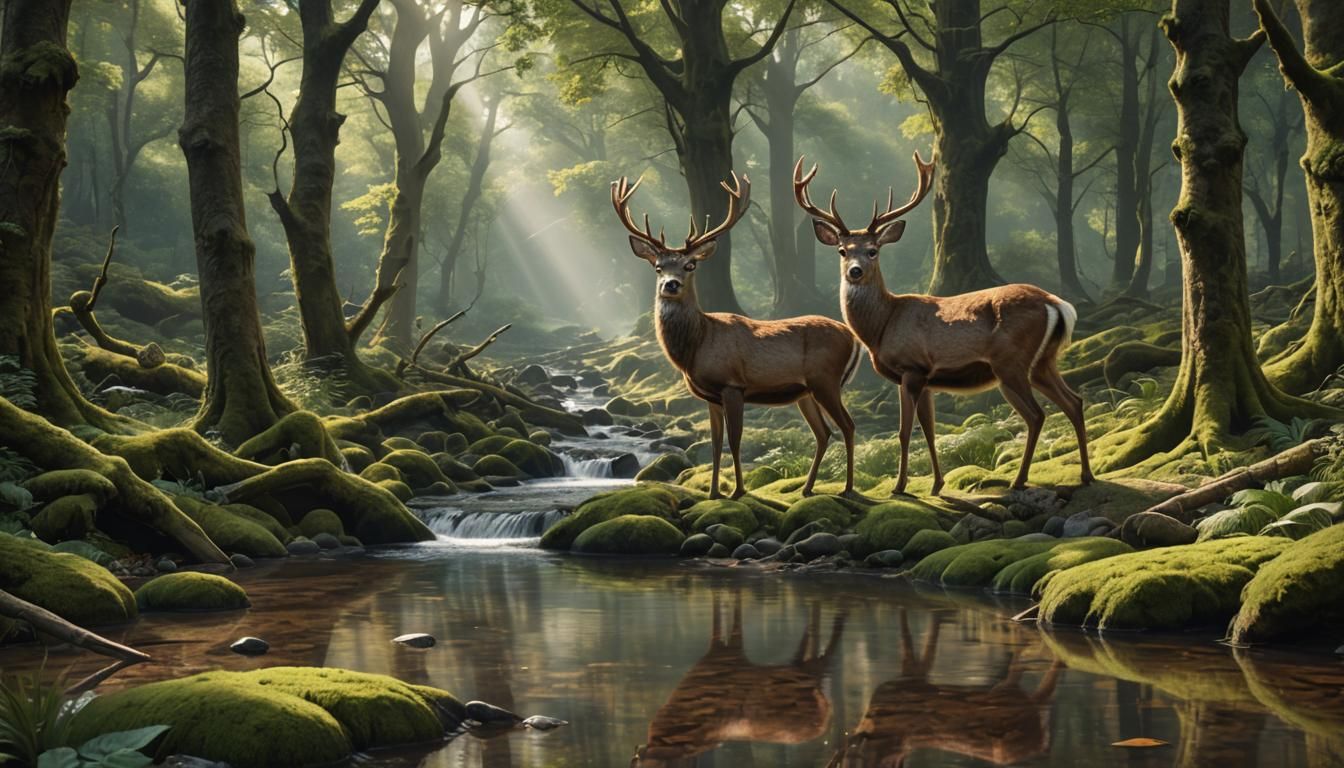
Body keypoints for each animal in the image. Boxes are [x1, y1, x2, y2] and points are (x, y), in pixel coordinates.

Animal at [612, 172, 863, 500]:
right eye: (658, 267)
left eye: (690, 265)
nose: (671, 284)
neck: (697, 345)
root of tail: (854, 337)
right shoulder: (711, 397)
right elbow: (715, 445)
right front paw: (713, 493)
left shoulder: (732, 385)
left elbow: (734, 440)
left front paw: (738, 491)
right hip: (806, 391)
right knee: (823, 433)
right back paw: (807, 489)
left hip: (826, 380)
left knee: (847, 425)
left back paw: (847, 488)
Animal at [793, 152, 1093, 495]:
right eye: (843, 251)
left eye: (873, 250)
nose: (855, 271)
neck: (882, 326)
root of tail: (1055, 303)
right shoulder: (925, 378)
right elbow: (930, 430)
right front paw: (937, 484)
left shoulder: (911, 368)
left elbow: (904, 432)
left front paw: (900, 486)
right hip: (1043, 361)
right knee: (1074, 402)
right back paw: (1085, 475)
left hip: (1011, 363)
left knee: (1037, 414)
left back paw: (1019, 480)